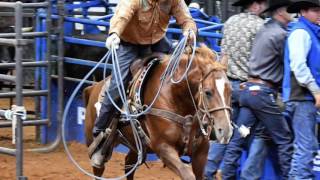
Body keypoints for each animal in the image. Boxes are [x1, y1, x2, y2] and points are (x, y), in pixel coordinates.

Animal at [82, 44, 232, 179]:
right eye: (208, 92)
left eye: (230, 90)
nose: (226, 131)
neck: (175, 96)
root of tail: (94, 87)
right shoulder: (163, 148)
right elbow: (188, 175)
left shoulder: (201, 152)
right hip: (96, 143)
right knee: (99, 169)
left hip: (137, 146)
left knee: (129, 164)